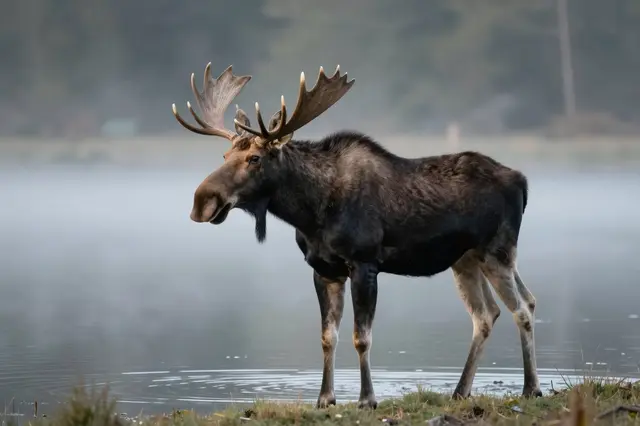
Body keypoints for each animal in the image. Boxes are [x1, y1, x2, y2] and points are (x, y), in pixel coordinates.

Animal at [171, 62, 542, 409]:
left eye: (254, 158)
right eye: (224, 155)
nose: (202, 201)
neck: (311, 211)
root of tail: (522, 181)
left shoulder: (364, 263)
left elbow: (361, 337)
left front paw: (367, 399)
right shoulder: (324, 269)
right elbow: (328, 337)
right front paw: (325, 398)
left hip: (497, 250)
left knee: (522, 308)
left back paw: (531, 388)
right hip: (466, 259)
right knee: (489, 314)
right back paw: (461, 390)